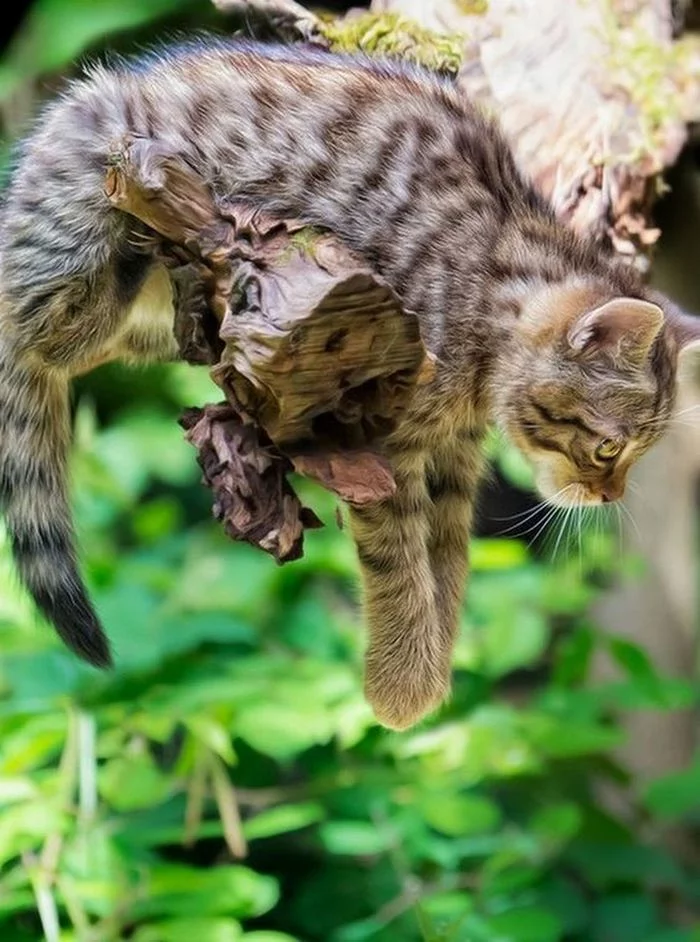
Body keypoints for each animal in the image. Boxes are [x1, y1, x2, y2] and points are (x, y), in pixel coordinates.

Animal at [1, 38, 700, 732]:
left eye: (636, 453)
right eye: (610, 447)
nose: (610, 496)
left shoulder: (451, 454)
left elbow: (447, 558)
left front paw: (433, 657)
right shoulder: (377, 439)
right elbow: (399, 563)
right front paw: (403, 682)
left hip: (149, 329)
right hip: (75, 241)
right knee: (33, 331)